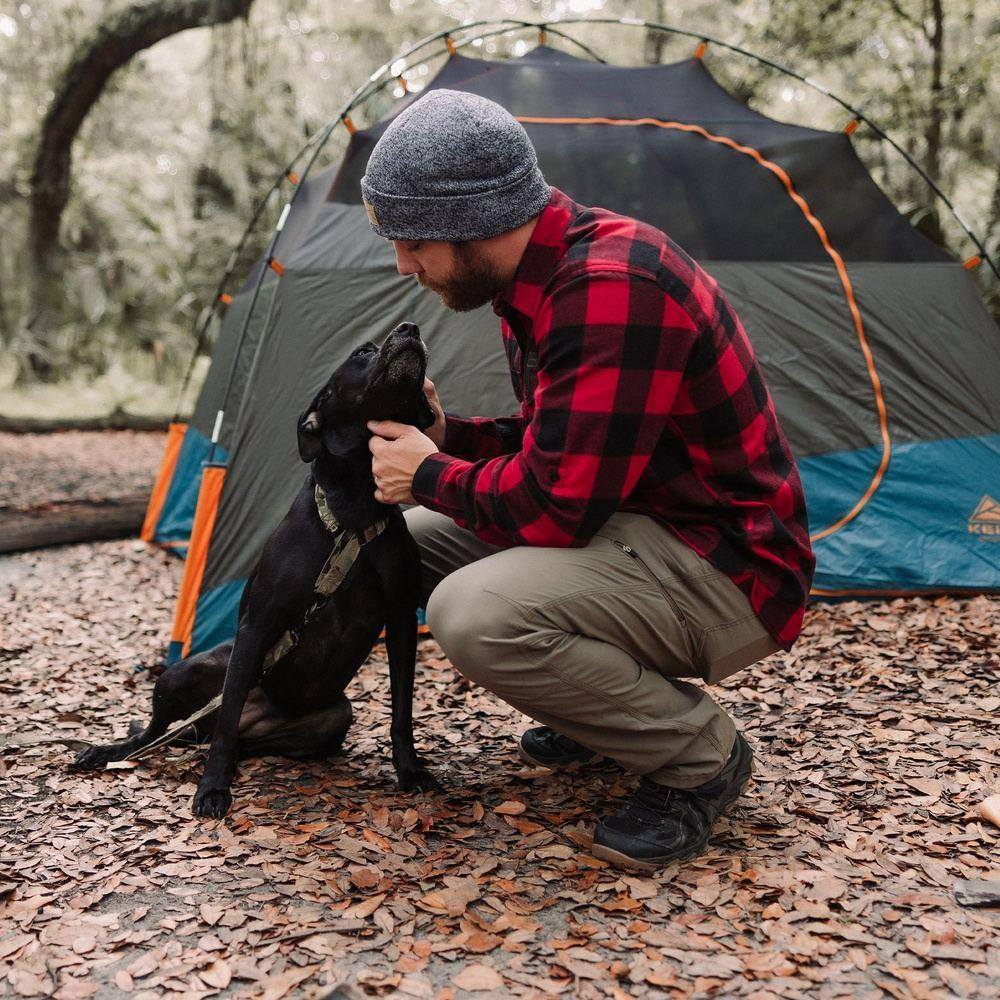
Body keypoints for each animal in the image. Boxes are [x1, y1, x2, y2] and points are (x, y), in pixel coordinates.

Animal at [76, 324, 436, 816]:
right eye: (363, 350)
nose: (411, 328)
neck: (355, 505)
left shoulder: (400, 619)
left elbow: (402, 711)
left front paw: (410, 770)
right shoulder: (258, 624)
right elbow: (227, 717)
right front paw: (212, 789)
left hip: (334, 717)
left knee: (234, 741)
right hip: (182, 673)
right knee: (165, 732)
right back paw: (111, 750)